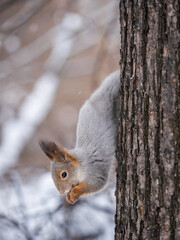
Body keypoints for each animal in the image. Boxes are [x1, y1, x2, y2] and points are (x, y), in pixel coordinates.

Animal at [40, 71, 120, 204]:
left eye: (64, 174)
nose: (61, 192)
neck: (81, 165)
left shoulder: (95, 171)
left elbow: (95, 185)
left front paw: (74, 193)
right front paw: (69, 196)